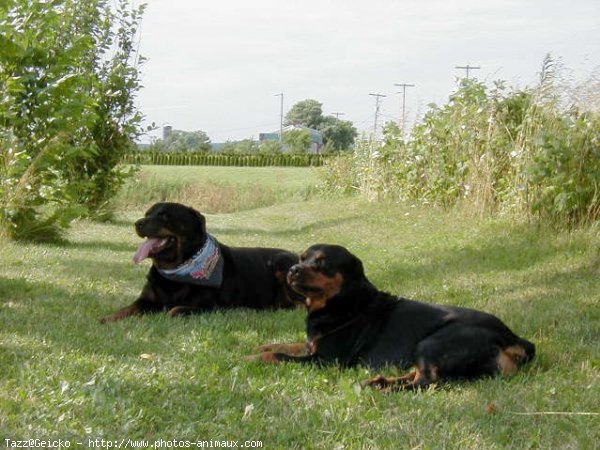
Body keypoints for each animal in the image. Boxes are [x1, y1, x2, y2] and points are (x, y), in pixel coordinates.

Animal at [248, 243, 536, 390]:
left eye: (321, 262)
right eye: (301, 258)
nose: (293, 270)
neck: (344, 300)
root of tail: (513, 339)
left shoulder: (326, 360)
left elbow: (280, 355)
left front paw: (254, 357)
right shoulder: (312, 346)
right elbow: (286, 344)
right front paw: (261, 346)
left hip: (433, 343)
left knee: (427, 382)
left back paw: (384, 386)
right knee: (420, 375)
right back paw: (378, 381)